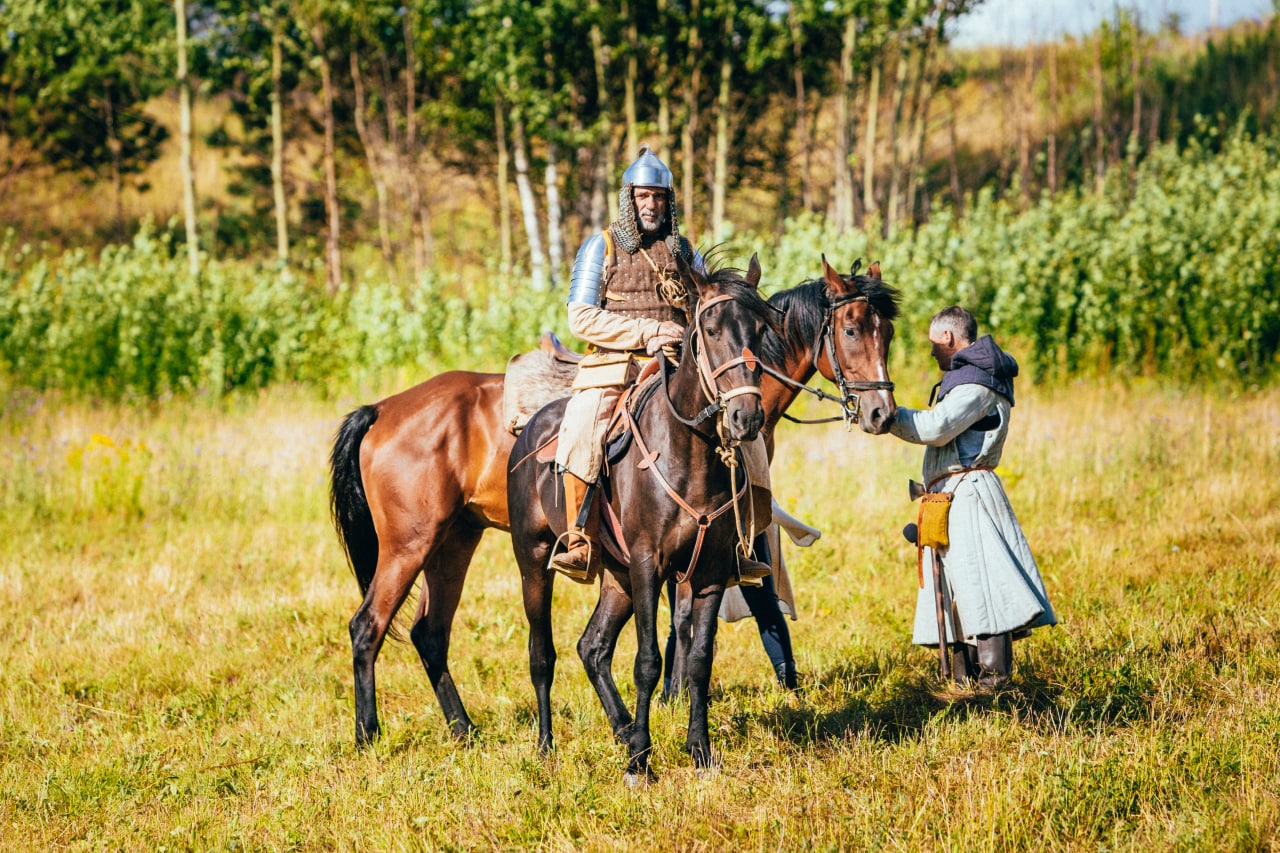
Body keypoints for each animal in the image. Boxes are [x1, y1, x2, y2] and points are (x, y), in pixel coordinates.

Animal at [327, 253, 901, 742]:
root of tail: (382, 409)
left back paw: (464, 729)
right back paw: (368, 733)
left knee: (430, 633)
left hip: (453, 543)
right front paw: (671, 703)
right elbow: (689, 623)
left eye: (887, 333)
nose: (882, 413)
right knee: (368, 626)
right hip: (411, 545)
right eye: (852, 329)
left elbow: (693, 624)